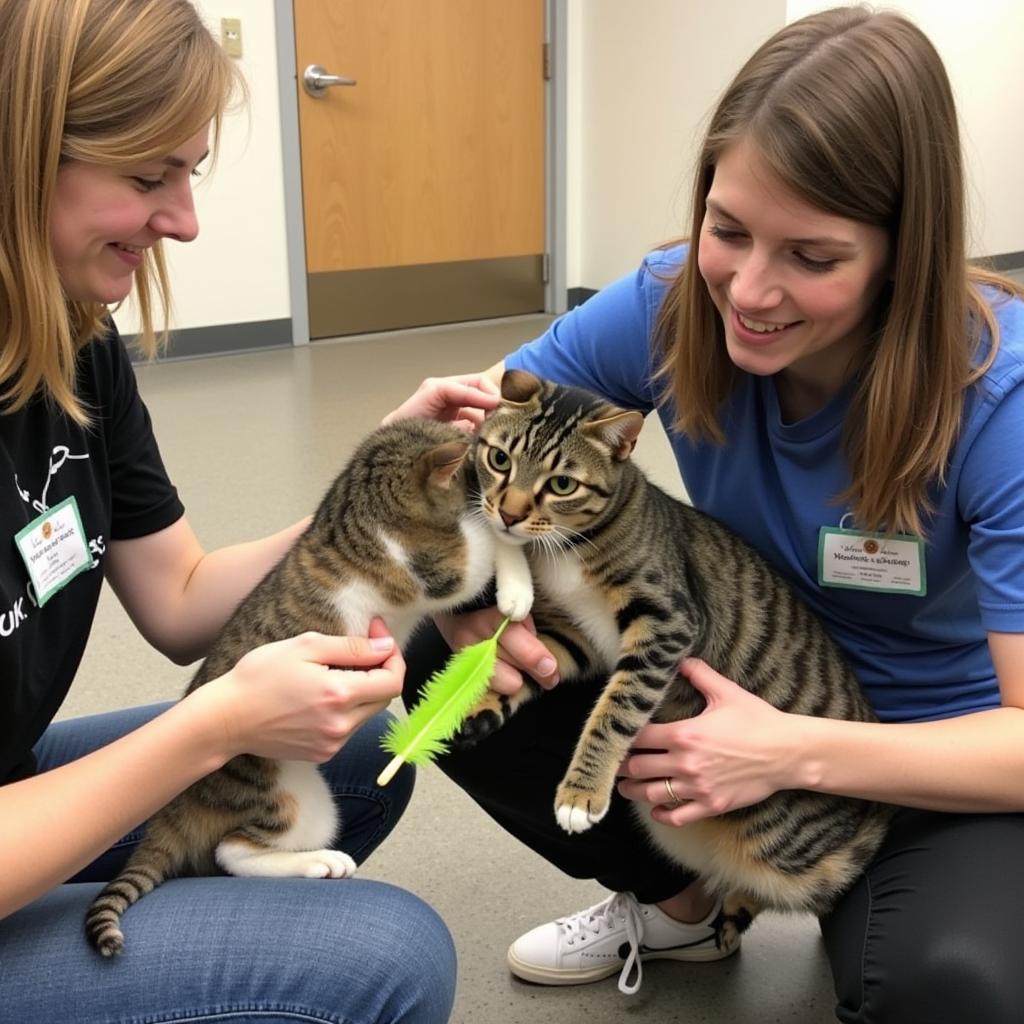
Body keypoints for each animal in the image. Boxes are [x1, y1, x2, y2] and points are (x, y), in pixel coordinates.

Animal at [86, 413, 493, 950]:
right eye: (474, 478)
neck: (351, 503)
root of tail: (176, 805)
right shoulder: (435, 566)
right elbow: (481, 556)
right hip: (295, 798)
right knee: (231, 850)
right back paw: (321, 862)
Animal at [460, 370, 892, 942]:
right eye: (499, 459)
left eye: (562, 485)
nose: (507, 515)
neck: (572, 545)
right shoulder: (575, 637)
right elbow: (528, 671)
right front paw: (481, 706)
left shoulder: (667, 624)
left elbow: (614, 712)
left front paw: (580, 793)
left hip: (788, 852)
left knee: (817, 883)